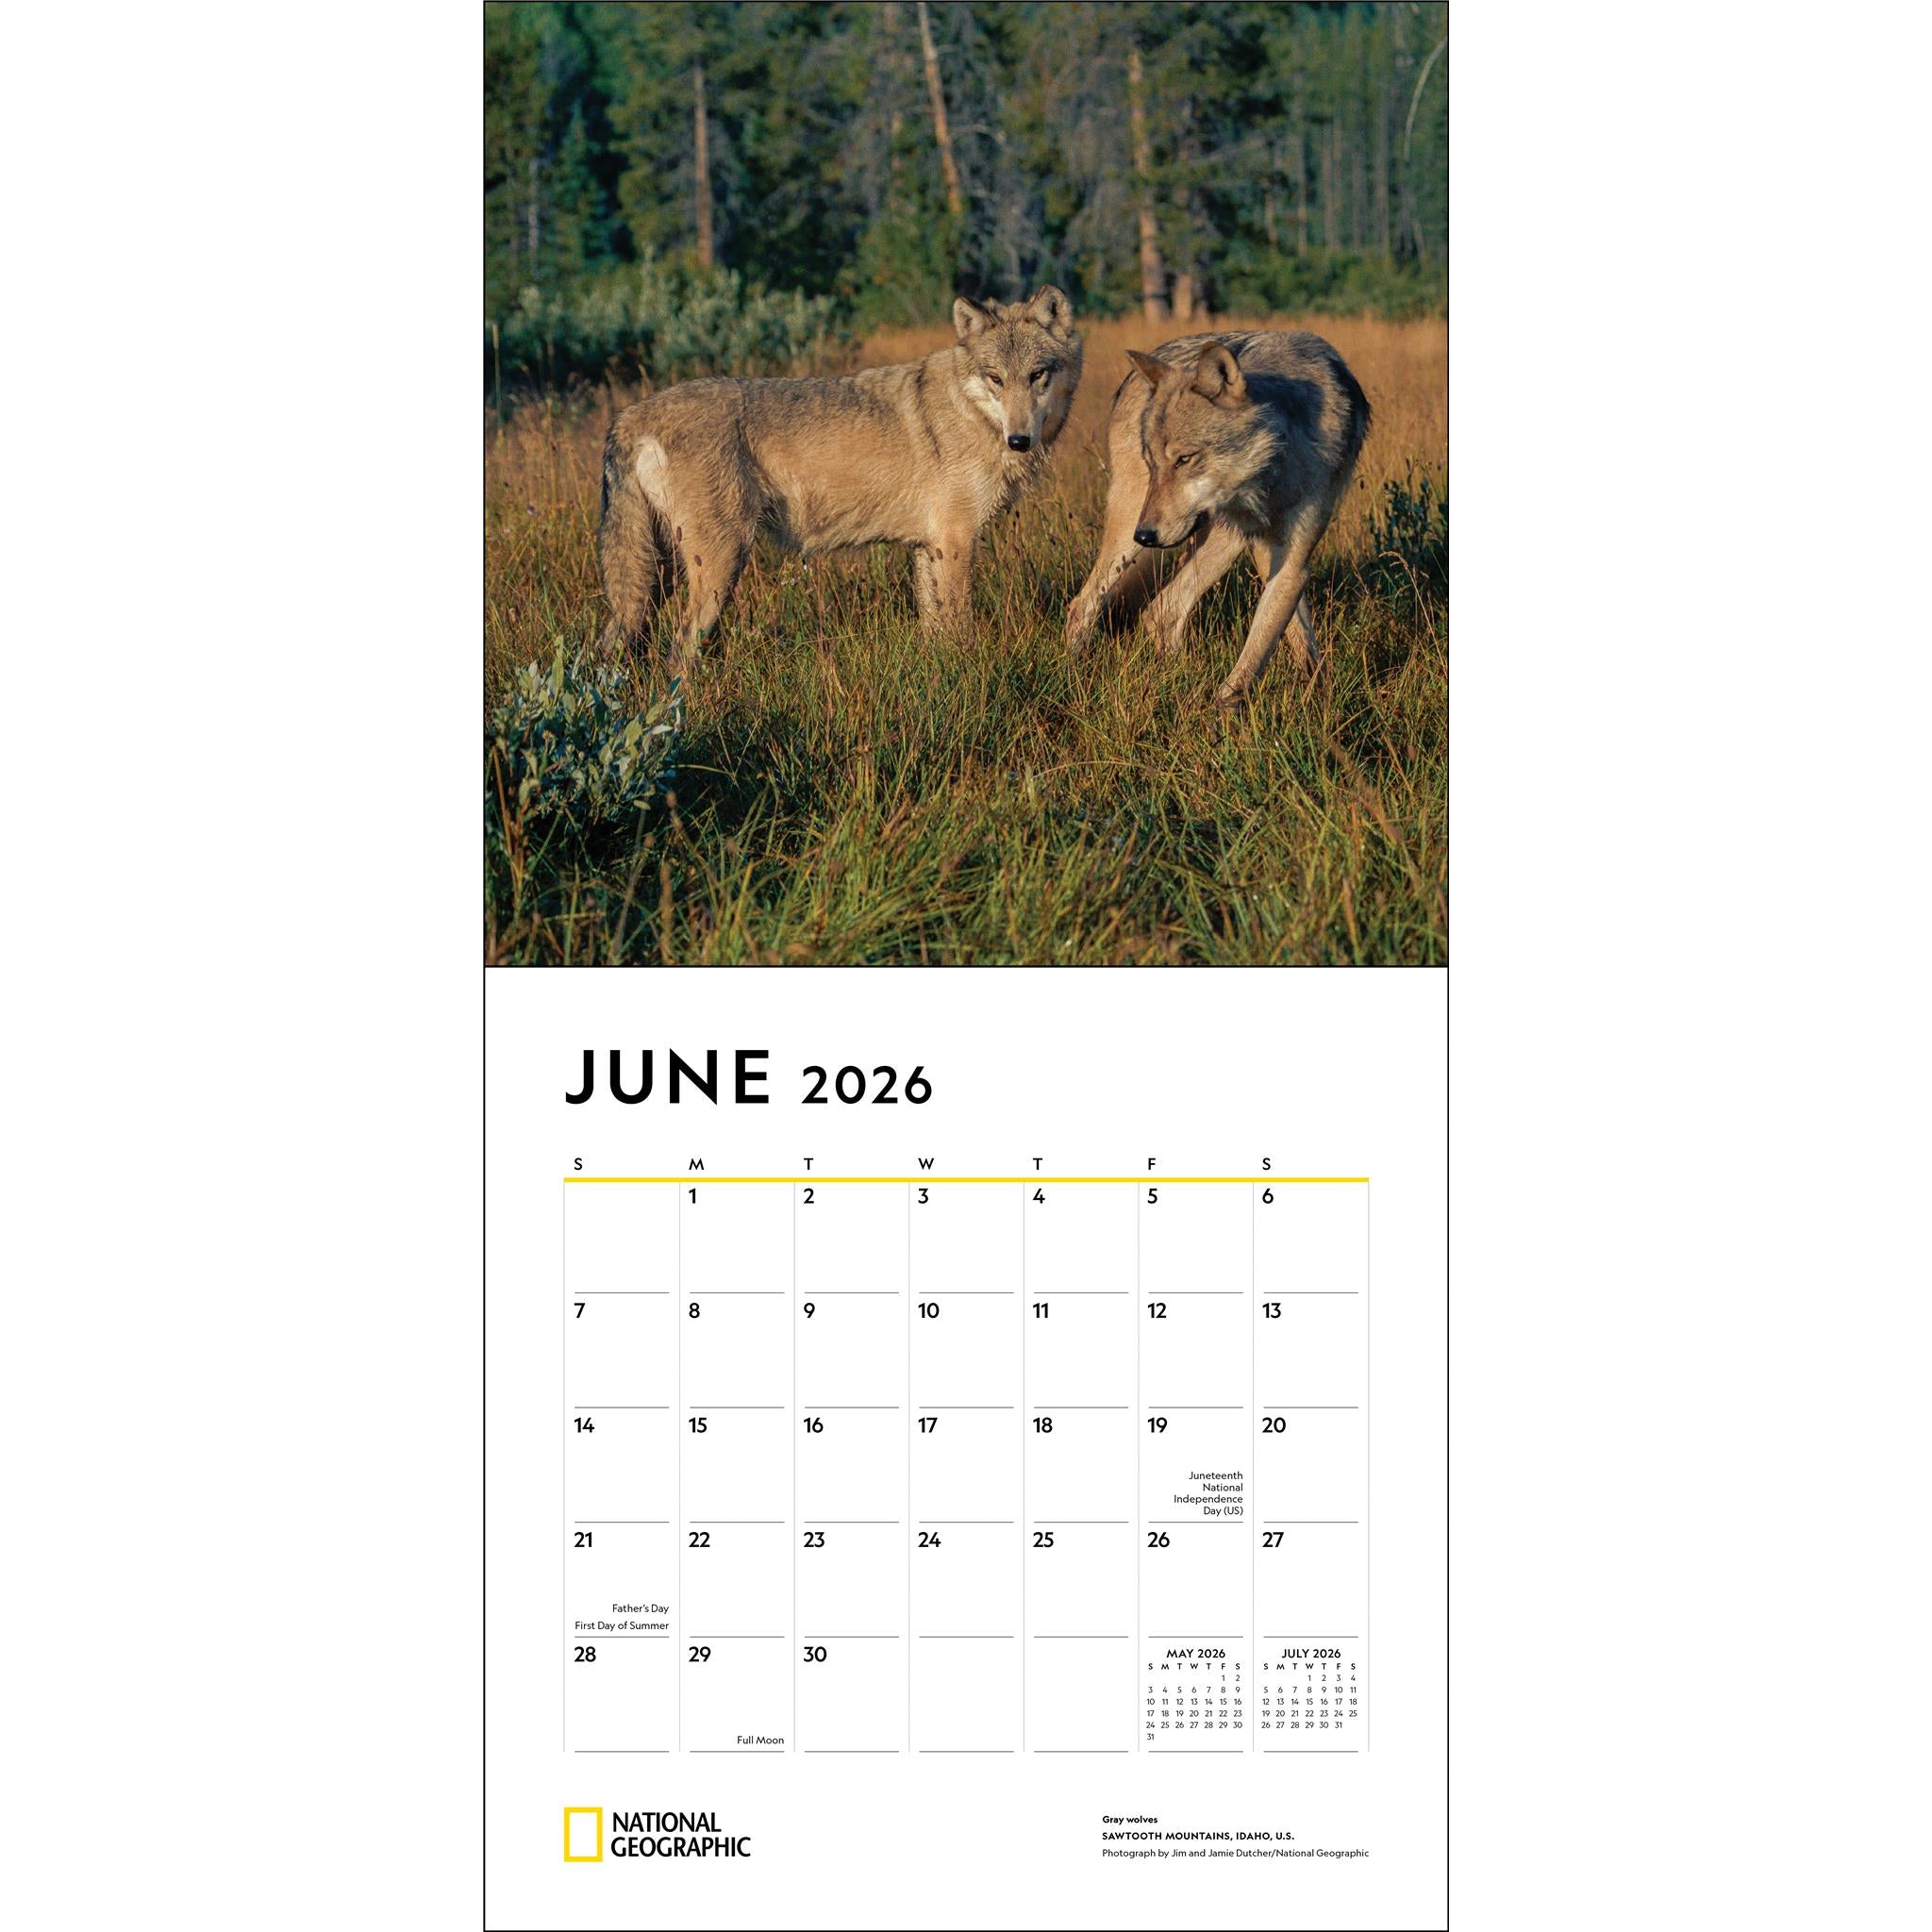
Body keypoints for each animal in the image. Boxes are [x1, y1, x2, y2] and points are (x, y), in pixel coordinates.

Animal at [598, 287, 1082, 667]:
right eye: (995, 378)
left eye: (1037, 375)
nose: (1019, 440)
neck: (971, 413)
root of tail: (630, 416)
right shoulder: (956, 542)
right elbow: (959, 629)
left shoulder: (929, 547)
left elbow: (935, 631)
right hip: (717, 568)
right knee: (678, 650)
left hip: (658, 576)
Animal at [1064, 330, 1370, 707]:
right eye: (1154, 462)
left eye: (1184, 459)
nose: (1146, 536)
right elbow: (1255, 658)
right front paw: (1223, 715)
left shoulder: (1288, 559)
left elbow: (1280, 636)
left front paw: (1321, 696)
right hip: (1141, 527)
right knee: (1093, 605)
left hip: (1215, 539)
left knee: (1163, 609)